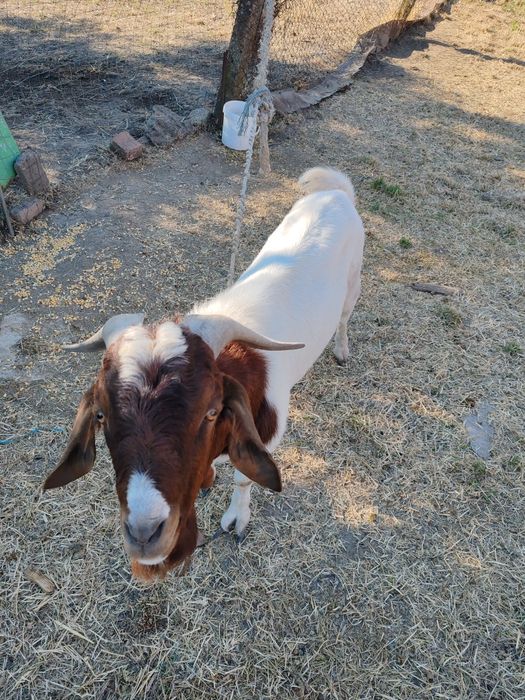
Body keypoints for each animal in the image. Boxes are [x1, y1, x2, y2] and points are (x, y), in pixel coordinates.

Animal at [44, 167, 365, 581]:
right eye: (101, 415)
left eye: (211, 411)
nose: (145, 533)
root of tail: (336, 191)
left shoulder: (269, 434)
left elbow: (244, 477)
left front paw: (236, 518)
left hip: (353, 282)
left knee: (344, 318)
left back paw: (341, 350)